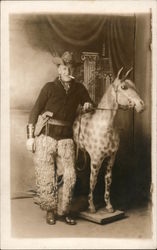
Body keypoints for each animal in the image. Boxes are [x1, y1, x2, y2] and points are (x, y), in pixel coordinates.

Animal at [73, 68, 144, 213]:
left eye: (134, 86)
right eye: (124, 87)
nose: (142, 106)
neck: (104, 126)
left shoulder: (111, 157)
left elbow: (108, 179)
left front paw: (109, 206)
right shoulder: (96, 159)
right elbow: (93, 180)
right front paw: (92, 206)